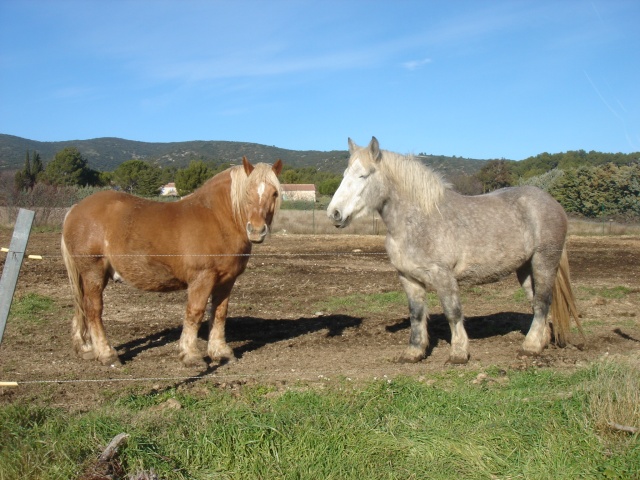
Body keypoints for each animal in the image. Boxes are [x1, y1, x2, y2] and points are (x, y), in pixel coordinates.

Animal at [62, 158, 282, 368]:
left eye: (274, 193)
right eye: (247, 191)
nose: (256, 230)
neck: (215, 217)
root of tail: (75, 209)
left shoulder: (226, 280)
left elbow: (219, 313)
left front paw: (221, 353)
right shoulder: (202, 279)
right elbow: (195, 313)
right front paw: (191, 355)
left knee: (82, 308)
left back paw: (86, 349)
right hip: (93, 272)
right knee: (93, 310)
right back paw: (107, 355)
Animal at [328, 137, 584, 362]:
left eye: (364, 175)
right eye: (344, 175)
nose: (334, 213)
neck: (418, 221)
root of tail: (553, 203)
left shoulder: (443, 276)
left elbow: (453, 312)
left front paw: (459, 353)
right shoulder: (408, 278)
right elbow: (416, 315)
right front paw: (414, 353)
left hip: (544, 261)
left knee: (542, 302)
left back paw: (530, 347)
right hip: (524, 268)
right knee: (536, 303)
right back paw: (541, 341)